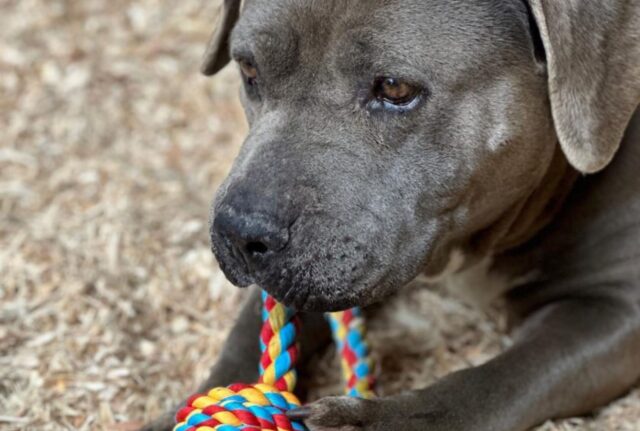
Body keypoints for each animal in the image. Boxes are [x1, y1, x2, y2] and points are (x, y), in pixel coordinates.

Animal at [141, 0, 640, 431]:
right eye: (248, 69)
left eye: (395, 89)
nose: (241, 232)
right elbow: (241, 343)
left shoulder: (614, 309)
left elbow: (491, 383)